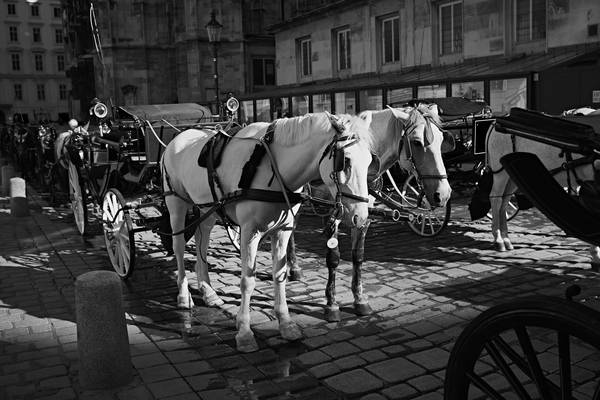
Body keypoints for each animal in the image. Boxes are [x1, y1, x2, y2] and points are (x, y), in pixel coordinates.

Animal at [162, 111, 372, 352]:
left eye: (370, 161)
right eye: (344, 161)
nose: (361, 217)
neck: (273, 165)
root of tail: (178, 137)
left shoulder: (282, 230)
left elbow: (279, 275)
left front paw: (286, 324)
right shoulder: (249, 231)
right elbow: (247, 281)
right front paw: (244, 332)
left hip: (209, 209)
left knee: (201, 242)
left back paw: (208, 291)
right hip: (176, 204)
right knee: (179, 247)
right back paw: (183, 295)